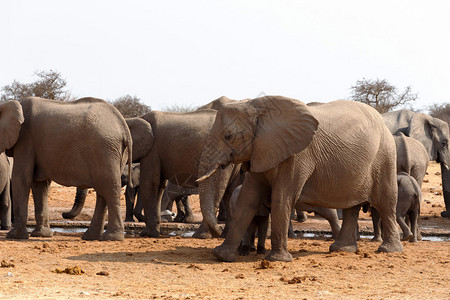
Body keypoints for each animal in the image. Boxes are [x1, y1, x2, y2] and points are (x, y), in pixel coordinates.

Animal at [0, 97, 132, 240]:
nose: (63, 214)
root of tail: (124, 127)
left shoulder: (25, 139)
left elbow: (22, 178)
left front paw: (14, 236)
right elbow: (40, 184)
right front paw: (42, 235)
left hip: (105, 149)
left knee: (109, 187)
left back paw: (111, 237)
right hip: (115, 152)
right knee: (103, 190)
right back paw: (90, 236)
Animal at [199, 96, 402, 262]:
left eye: (229, 136)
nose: (218, 231)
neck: (257, 107)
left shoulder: (297, 155)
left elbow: (282, 197)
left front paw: (278, 260)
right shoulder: (262, 150)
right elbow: (248, 198)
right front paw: (221, 256)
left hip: (385, 155)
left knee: (386, 202)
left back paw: (389, 250)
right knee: (352, 206)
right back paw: (341, 249)